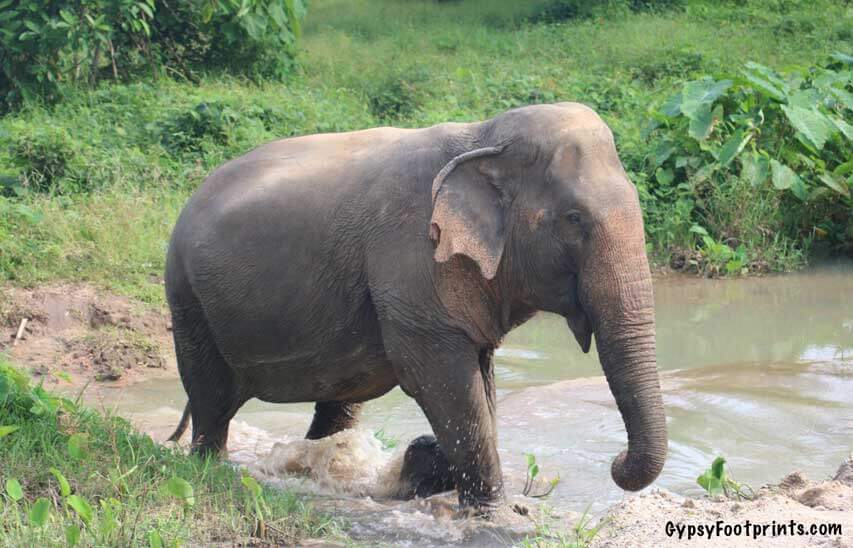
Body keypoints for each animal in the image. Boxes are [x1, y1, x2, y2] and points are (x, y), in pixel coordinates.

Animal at [164, 102, 667, 512]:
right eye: (573, 219)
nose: (616, 461)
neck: (483, 136)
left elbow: (479, 384)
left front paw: (430, 464)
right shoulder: (411, 265)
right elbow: (442, 382)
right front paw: (494, 514)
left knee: (337, 406)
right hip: (186, 297)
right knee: (210, 399)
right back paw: (211, 468)